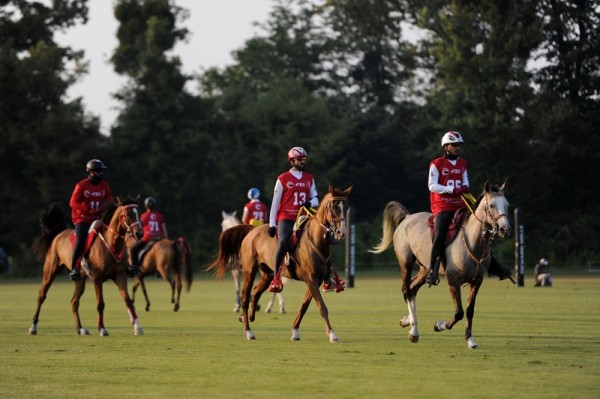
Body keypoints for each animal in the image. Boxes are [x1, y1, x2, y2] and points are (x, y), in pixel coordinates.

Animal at [30, 198, 146, 336]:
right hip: (50, 272)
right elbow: (100, 304)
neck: (112, 243)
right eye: (128, 214)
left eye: (138, 213)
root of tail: (60, 233)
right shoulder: (97, 278)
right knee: (41, 296)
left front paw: (138, 327)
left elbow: (128, 301)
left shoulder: (120, 275)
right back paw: (33, 327)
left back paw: (80, 329)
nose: (139, 233)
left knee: (74, 302)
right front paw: (102, 329)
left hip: (80, 279)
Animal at [207, 185, 352, 344]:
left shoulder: (316, 281)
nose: (341, 232)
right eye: (333, 206)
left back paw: (250, 318)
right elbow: (322, 307)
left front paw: (295, 332)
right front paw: (332, 334)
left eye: (346, 206)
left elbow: (304, 306)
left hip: (267, 274)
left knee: (255, 292)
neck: (317, 240)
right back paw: (248, 330)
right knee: (246, 296)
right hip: (249, 271)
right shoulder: (311, 279)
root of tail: (252, 231)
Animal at [370, 182, 510, 350]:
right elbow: (459, 312)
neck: (472, 242)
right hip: (405, 263)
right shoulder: (453, 281)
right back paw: (413, 331)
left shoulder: (476, 282)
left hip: (426, 269)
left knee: (411, 289)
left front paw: (470, 339)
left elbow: (469, 310)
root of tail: (407, 217)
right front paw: (439, 325)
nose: (505, 229)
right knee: (407, 290)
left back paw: (407, 320)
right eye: (491, 205)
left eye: (507, 205)